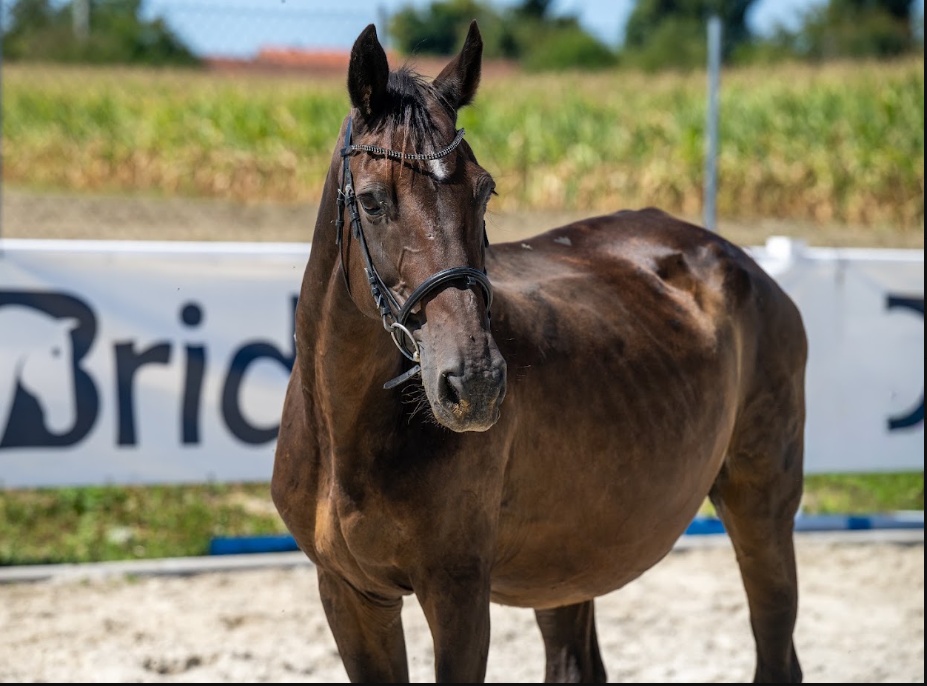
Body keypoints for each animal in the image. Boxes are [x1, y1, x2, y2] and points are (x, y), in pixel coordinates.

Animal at [272, 21, 807, 683]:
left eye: (484, 192)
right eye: (372, 200)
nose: (473, 382)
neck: (347, 437)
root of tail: (741, 263)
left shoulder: (457, 594)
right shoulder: (350, 595)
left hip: (762, 509)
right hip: (569, 561)